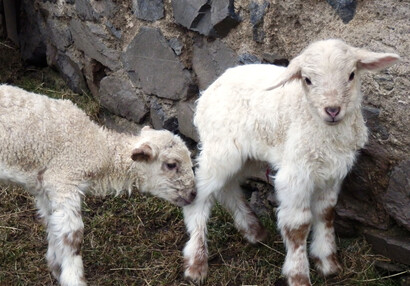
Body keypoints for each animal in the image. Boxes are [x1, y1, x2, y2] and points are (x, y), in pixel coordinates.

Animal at [0, 84, 196, 286]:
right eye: (171, 165)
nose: (193, 193)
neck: (97, 149)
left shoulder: (46, 187)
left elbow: (53, 226)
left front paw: (56, 267)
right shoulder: (64, 180)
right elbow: (73, 237)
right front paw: (74, 278)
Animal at [183, 39, 400, 284]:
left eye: (351, 74)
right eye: (307, 79)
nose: (332, 110)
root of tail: (209, 90)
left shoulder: (332, 173)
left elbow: (326, 214)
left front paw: (328, 263)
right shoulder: (296, 174)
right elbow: (298, 225)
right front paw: (299, 276)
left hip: (244, 155)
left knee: (226, 187)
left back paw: (253, 230)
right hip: (220, 147)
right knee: (201, 193)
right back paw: (196, 263)